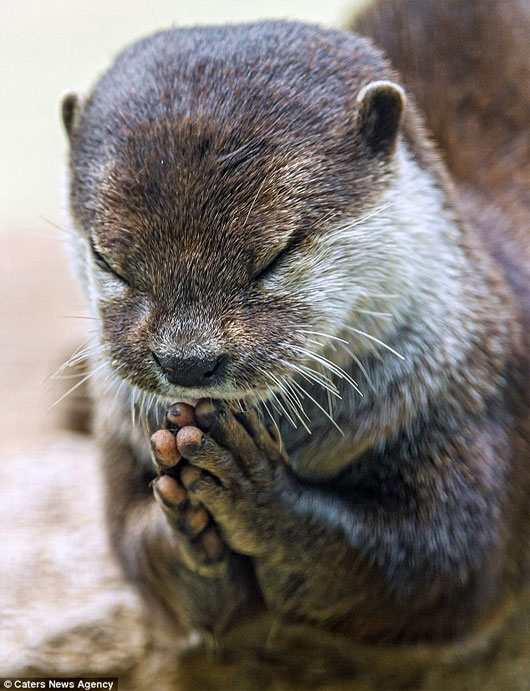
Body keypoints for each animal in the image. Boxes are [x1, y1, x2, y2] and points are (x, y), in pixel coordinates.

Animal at [61, 0, 529, 684]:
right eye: (109, 261)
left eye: (275, 256)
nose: (187, 361)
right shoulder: (119, 437)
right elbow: (136, 550)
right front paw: (184, 527)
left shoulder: (479, 399)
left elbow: (440, 567)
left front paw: (256, 494)